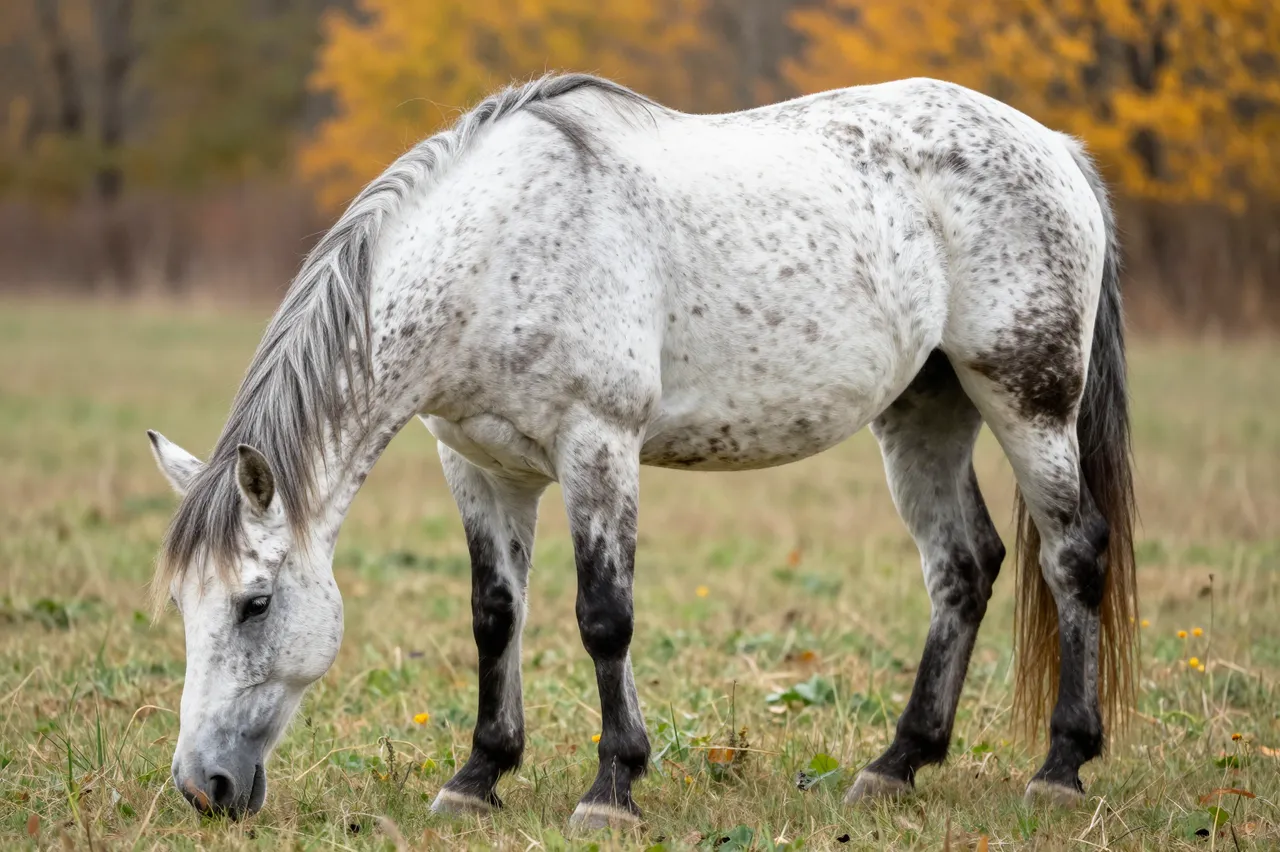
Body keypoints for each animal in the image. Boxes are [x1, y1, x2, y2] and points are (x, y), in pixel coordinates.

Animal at [147, 73, 1136, 828]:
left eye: (255, 604)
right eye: (186, 607)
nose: (204, 787)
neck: (492, 250)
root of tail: (1055, 147)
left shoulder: (599, 445)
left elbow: (603, 616)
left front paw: (611, 786)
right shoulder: (479, 466)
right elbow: (494, 616)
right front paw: (477, 778)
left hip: (1027, 401)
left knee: (1072, 554)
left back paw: (1060, 767)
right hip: (925, 410)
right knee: (963, 566)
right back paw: (895, 765)